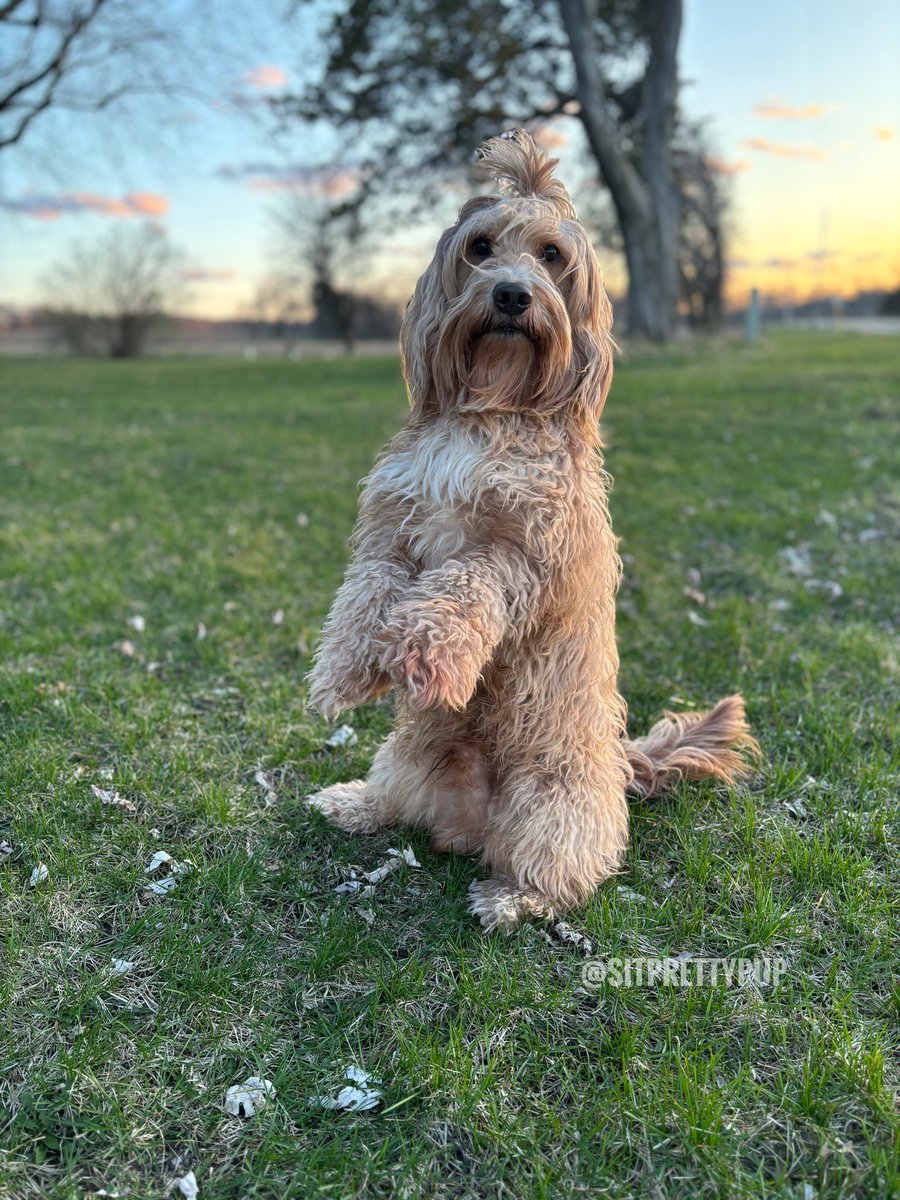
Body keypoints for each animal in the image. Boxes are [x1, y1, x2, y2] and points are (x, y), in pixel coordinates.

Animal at [307, 133, 758, 936]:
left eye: (551, 255)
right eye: (481, 247)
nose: (512, 295)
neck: (492, 407)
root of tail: (465, 827)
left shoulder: (521, 553)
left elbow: (462, 587)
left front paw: (422, 652)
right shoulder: (393, 528)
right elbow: (366, 592)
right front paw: (345, 672)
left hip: (551, 799)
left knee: (570, 866)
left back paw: (514, 896)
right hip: (405, 753)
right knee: (398, 802)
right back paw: (355, 803)